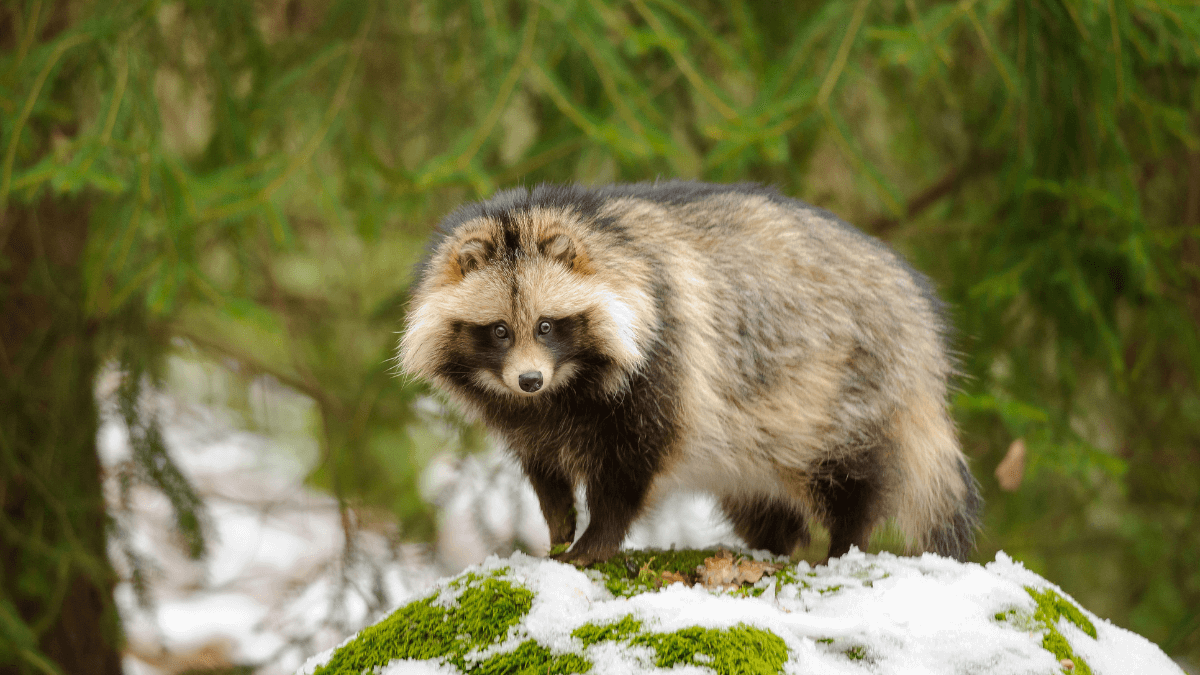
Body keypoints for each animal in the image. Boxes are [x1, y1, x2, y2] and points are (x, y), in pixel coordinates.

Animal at [400, 181, 981, 566]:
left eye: (546, 326)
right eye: (499, 331)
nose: (528, 381)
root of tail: (920, 316)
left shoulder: (664, 358)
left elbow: (630, 466)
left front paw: (595, 539)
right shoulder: (525, 416)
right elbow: (543, 466)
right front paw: (559, 522)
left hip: (845, 387)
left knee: (853, 476)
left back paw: (845, 544)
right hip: (762, 434)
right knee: (761, 501)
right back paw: (773, 545)